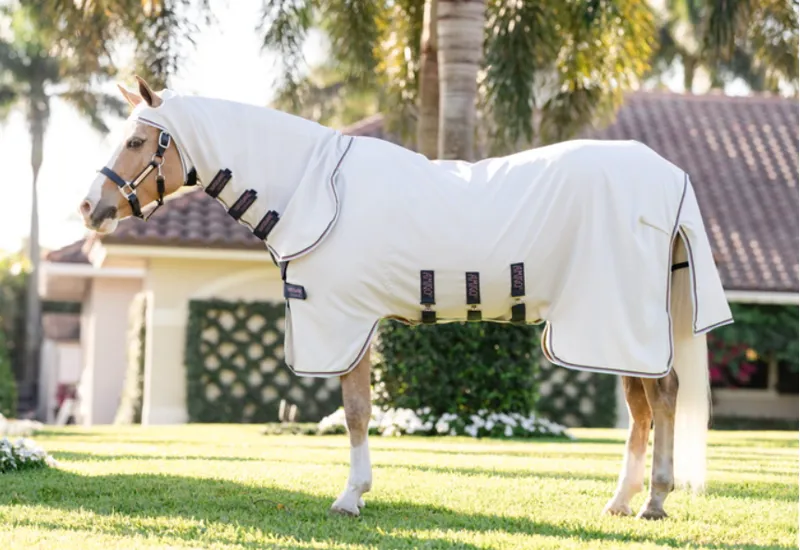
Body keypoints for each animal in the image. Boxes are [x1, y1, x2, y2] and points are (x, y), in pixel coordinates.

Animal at [78, 76, 733, 519]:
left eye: (137, 140)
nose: (91, 207)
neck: (316, 189)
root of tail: (670, 177)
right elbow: (358, 409)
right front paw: (356, 491)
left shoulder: (345, 321)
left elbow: (355, 410)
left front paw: (351, 496)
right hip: (612, 327)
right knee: (642, 407)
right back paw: (622, 501)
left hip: (617, 321)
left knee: (663, 397)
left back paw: (653, 501)